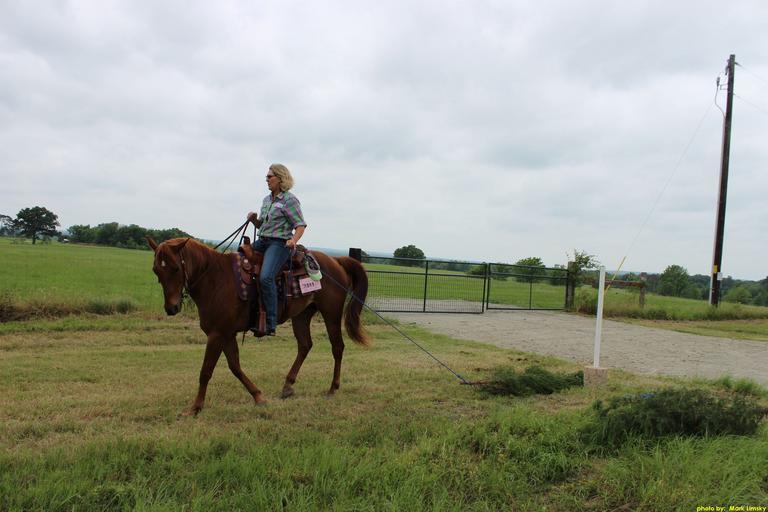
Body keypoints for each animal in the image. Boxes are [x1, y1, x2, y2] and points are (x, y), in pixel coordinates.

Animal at [146, 237, 370, 416]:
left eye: (175, 268)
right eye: (156, 270)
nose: (171, 308)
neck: (215, 279)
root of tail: (336, 260)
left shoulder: (217, 334)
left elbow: (206, 371)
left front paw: (195, 408)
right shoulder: (226, 334)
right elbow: (235, 367)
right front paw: (258, 396)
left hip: (331, 314)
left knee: (337, 347)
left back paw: (333, 388)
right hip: (301, 315)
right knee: (305, 345)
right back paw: (287, 386)